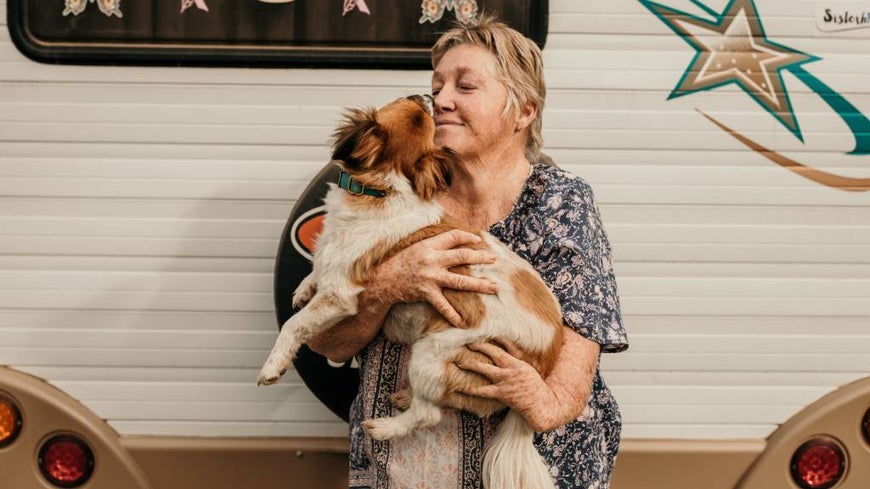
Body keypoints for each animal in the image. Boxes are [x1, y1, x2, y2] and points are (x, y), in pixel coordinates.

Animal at [255, 95, 564, 488]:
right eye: (412, 104)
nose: (429, 97)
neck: (382, 189)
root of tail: (544, 361)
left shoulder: (341, 294)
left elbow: (294, 325)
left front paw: (273, 364)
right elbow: (315, 273)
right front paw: (302, 288)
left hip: (434, 352)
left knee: (428, 414)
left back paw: (386, 426)